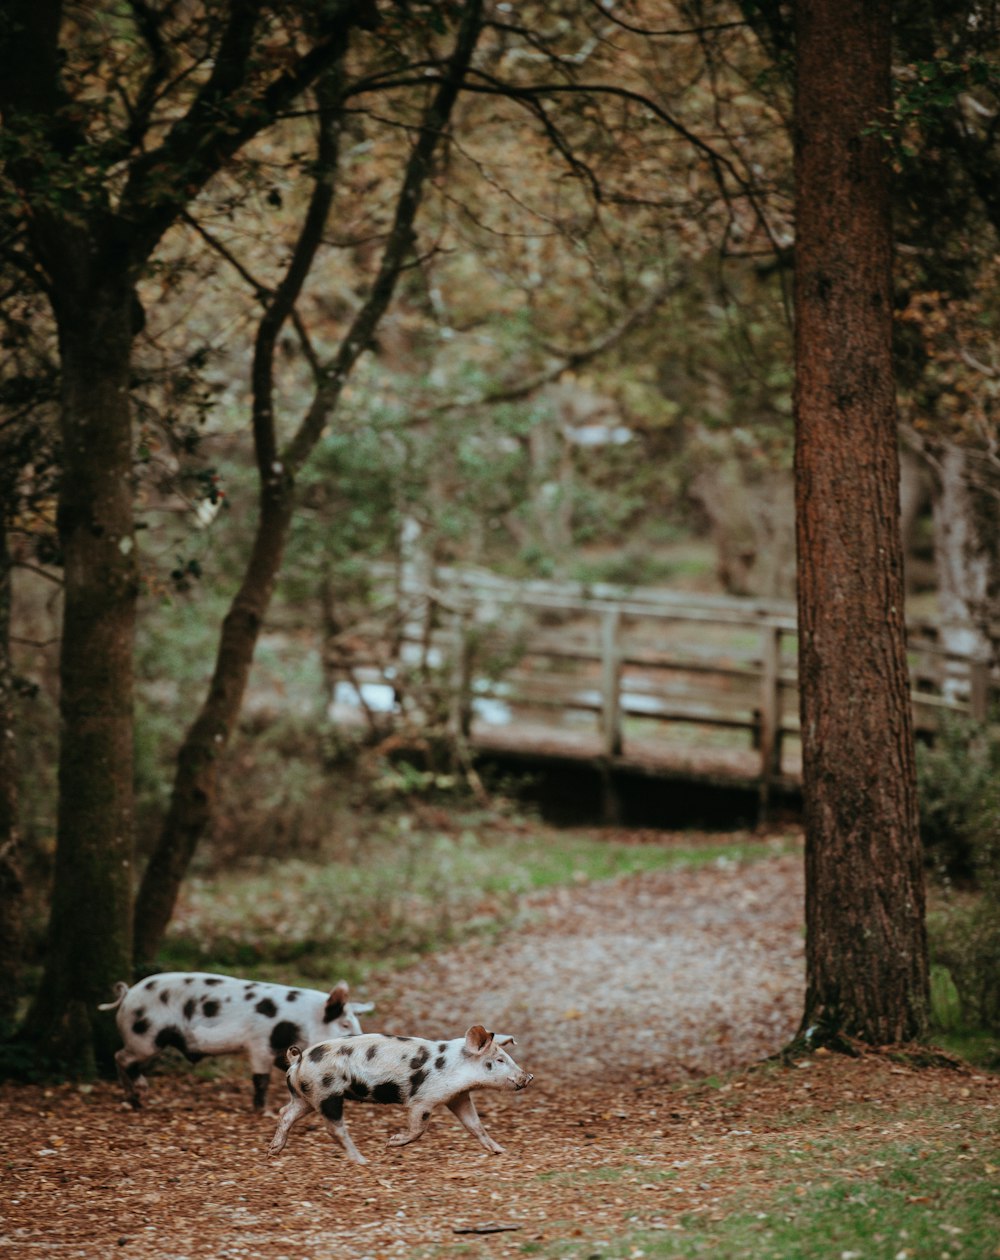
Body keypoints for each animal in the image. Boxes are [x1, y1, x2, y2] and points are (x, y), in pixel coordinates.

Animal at [99, 977, 372, 1108]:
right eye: (344, 1025)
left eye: (355, 1023)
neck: (301, 1021)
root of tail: (128, 994)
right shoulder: (259, 1044)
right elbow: (261, 1079)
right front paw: (263, 1111)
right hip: (145, 1037)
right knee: (121, 1057)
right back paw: (138, 1097)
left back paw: (134, 1100)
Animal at [264, 1023, 528, 1159]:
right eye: (499, 1060)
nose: (528, 1076)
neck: (456, 1066)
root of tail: (298, 1059)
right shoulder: (422, 1100)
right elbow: (419, 1128)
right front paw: (391, 1143)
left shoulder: (457, 1096)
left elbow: (475, 1125)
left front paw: (500, 1150)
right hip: (326, 1093)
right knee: (334, 1128)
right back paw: (363, 1160)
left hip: (307, 1095)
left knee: (285, 1112)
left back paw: (273, 1151)